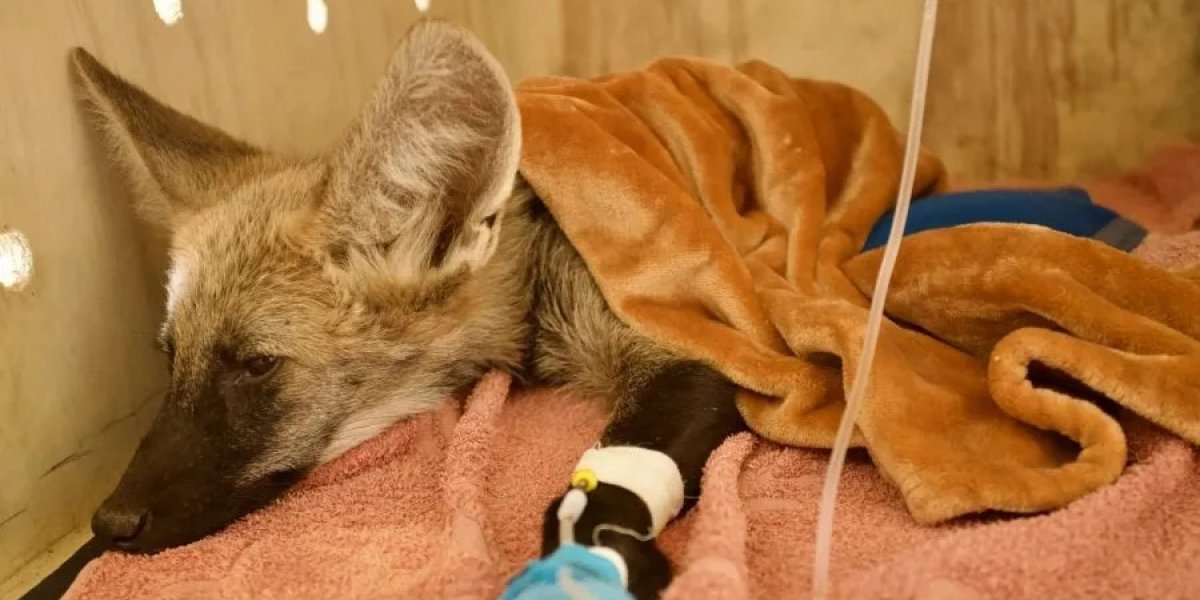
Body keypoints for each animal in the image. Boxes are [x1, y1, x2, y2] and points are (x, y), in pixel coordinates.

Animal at [73, 19, 745, 598]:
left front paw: (586, 564)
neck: (536, 279)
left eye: (256, 364)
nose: (108, 522)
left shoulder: (684, 345)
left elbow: (600, 489)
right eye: (169, 357)